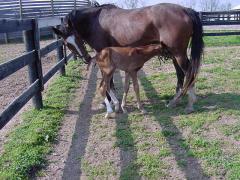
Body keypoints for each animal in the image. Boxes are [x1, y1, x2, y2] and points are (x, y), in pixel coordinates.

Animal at [52, 2, 202, 112]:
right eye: (67, 43)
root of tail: (185, 10)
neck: (95, 21)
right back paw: (175, 100)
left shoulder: (104, 57)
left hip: (178, 53)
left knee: (188, 71)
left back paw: (190, 103)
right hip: (174, 54)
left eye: (77, 36)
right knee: (181, 73)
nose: (86, 58)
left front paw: (111, 102)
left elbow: (109, 82)